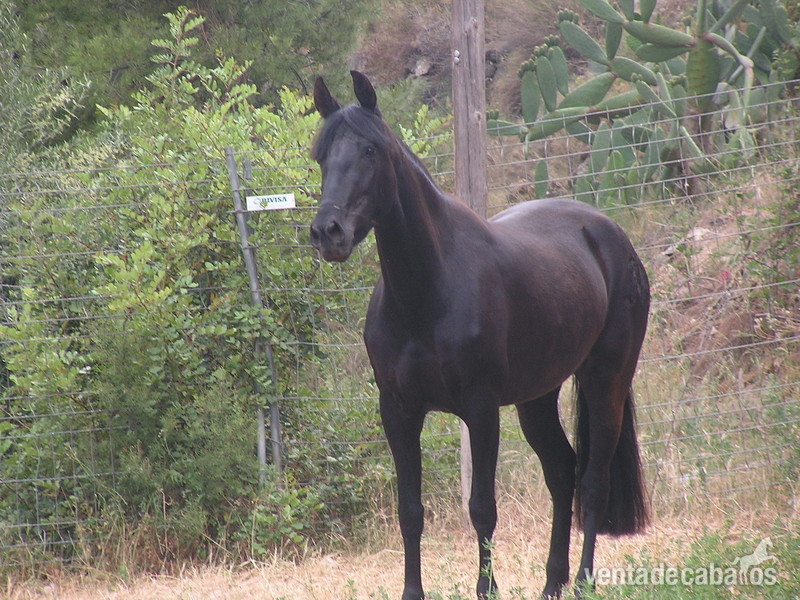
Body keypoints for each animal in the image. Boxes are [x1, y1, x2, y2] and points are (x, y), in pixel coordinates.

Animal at [309, 71, 650, 600]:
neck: (427, 292)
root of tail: (611, 236)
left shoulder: (481, 407)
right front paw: (412, 592)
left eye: (370, 150)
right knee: (562, 471)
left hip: (606, 381)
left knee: (593, 480)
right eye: (321, 155)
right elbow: (411, 511)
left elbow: (482, 509)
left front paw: (487, 588)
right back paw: (552, 583)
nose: (329, 232)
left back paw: (582, 582)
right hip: (537, 397)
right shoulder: (398, 410)